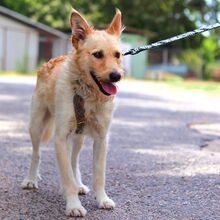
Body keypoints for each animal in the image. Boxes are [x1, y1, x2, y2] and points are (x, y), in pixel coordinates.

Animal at [21, 8, 124, 217]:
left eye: (117, 54)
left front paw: (102, 199)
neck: (86, 94)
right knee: (37, 154)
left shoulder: (102, 138)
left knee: (74, 160)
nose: (116, 76)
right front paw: (74, 205)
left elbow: (98, 174)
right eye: (97, 54)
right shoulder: (61, 138)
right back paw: (31, 179)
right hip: (36, 126)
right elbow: (66, 175)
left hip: (79, 136)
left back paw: (79, 184)